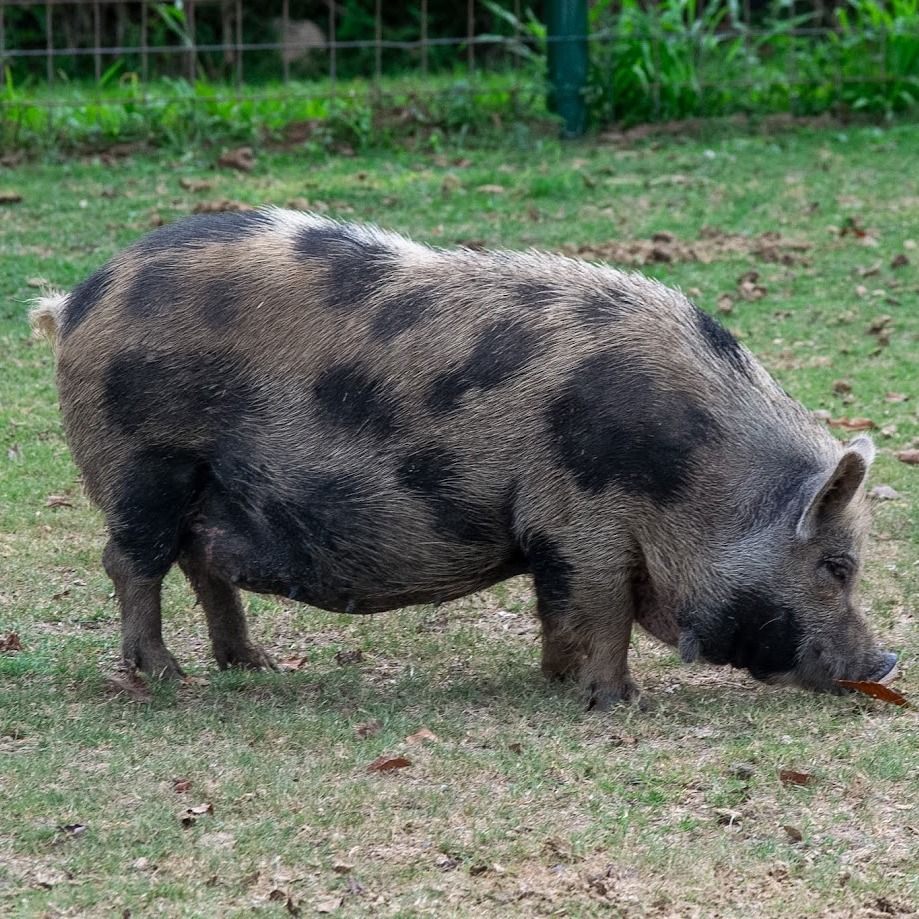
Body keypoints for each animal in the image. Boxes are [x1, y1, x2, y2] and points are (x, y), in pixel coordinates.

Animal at [31, 208, 897, 709]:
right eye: (836, 565)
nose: (885, 658)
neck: (690, 470)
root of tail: (75, 301)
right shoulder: (582, 517)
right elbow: (603, 605)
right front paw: (619, 701)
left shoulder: (552, 534)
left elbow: (558, 606)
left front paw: (556, 681)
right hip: (144, 462)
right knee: (132, 561)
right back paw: (166, 676)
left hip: (206, 483)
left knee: (202, 562)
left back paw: (256, 665)